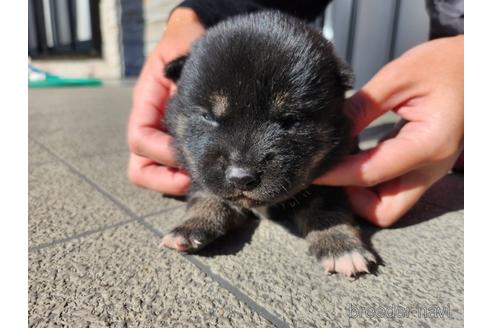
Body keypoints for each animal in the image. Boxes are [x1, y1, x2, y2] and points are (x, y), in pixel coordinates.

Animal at [160, 10, 374, 276]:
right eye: (207, 116)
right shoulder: (200, 169)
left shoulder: (333, 172)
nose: (241, 178)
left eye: (289, 119)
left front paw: (341, 246)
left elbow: (328, 207)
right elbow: (207, 194)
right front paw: (190, 227)